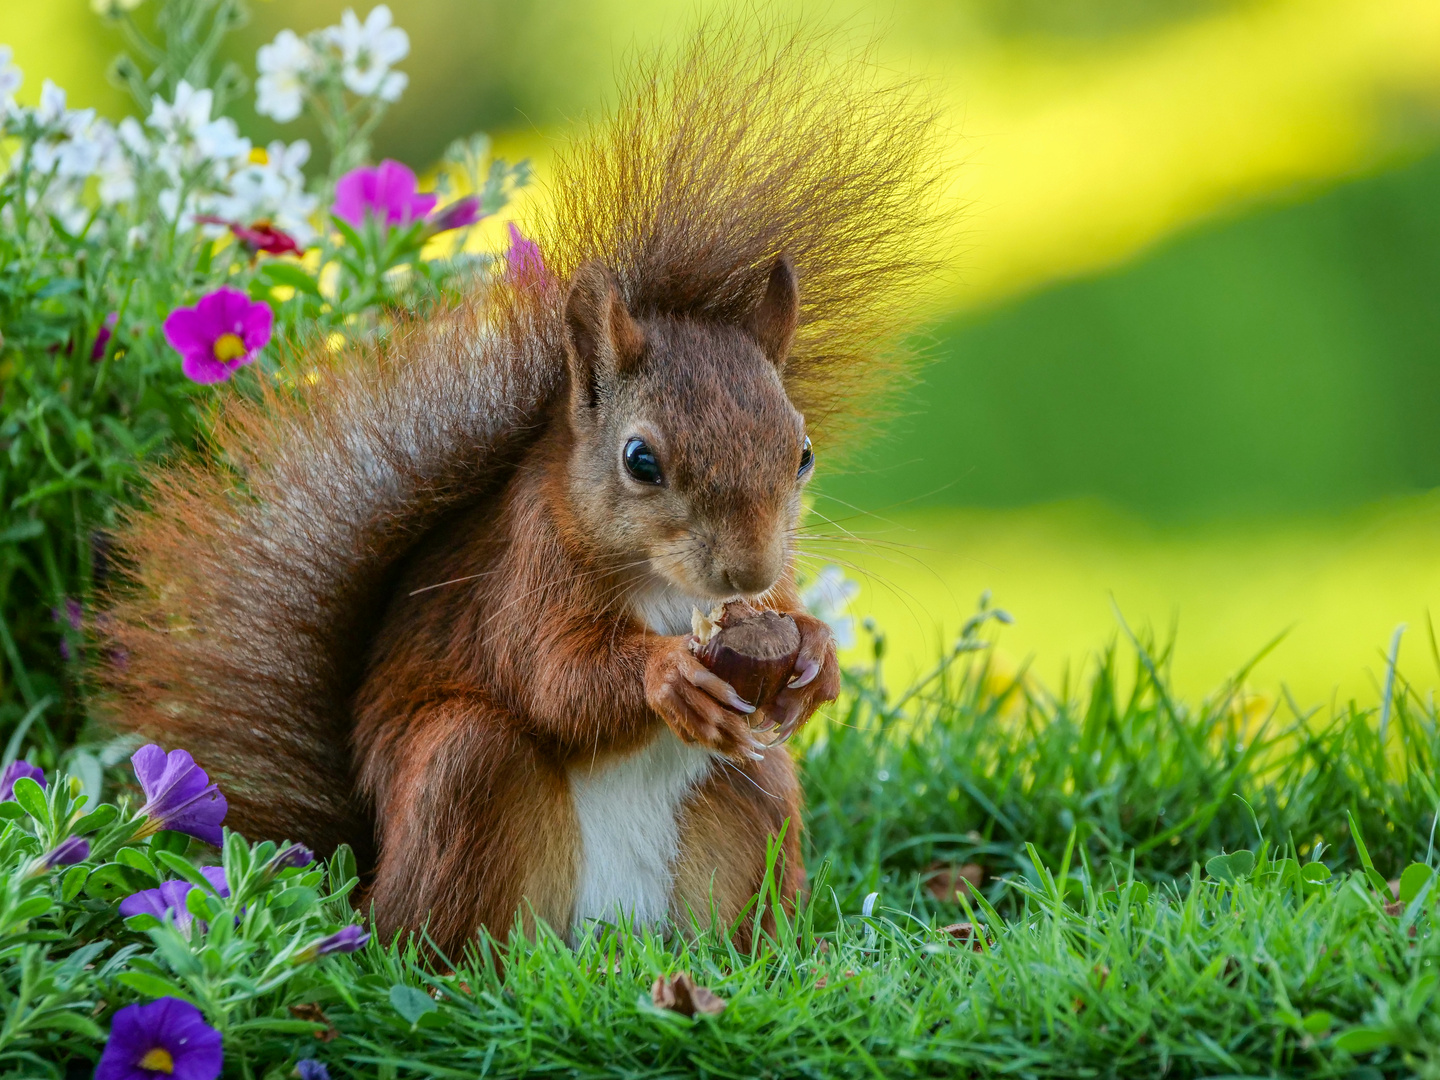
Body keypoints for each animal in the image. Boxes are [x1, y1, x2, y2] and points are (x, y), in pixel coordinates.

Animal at [98, 29, 933, 956]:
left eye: (804, 454)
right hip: (465, 775)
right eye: (640, 460)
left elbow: (782, 624)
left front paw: (816, 654)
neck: (665, 586)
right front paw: (667, 674)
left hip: (754, 796)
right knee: (440, 923)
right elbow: (555, 680)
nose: (746, 573)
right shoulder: (524, 577)